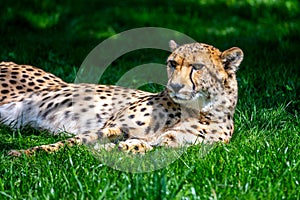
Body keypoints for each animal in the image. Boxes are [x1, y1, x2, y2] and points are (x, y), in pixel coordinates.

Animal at [0, 40, 243, 156]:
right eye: (173, 63)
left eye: (198, 67)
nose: (174, 86)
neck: (196, 110)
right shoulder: (115, 126)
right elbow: (70, 143)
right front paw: (22, 153)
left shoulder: (173, 146)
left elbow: (142, 147)